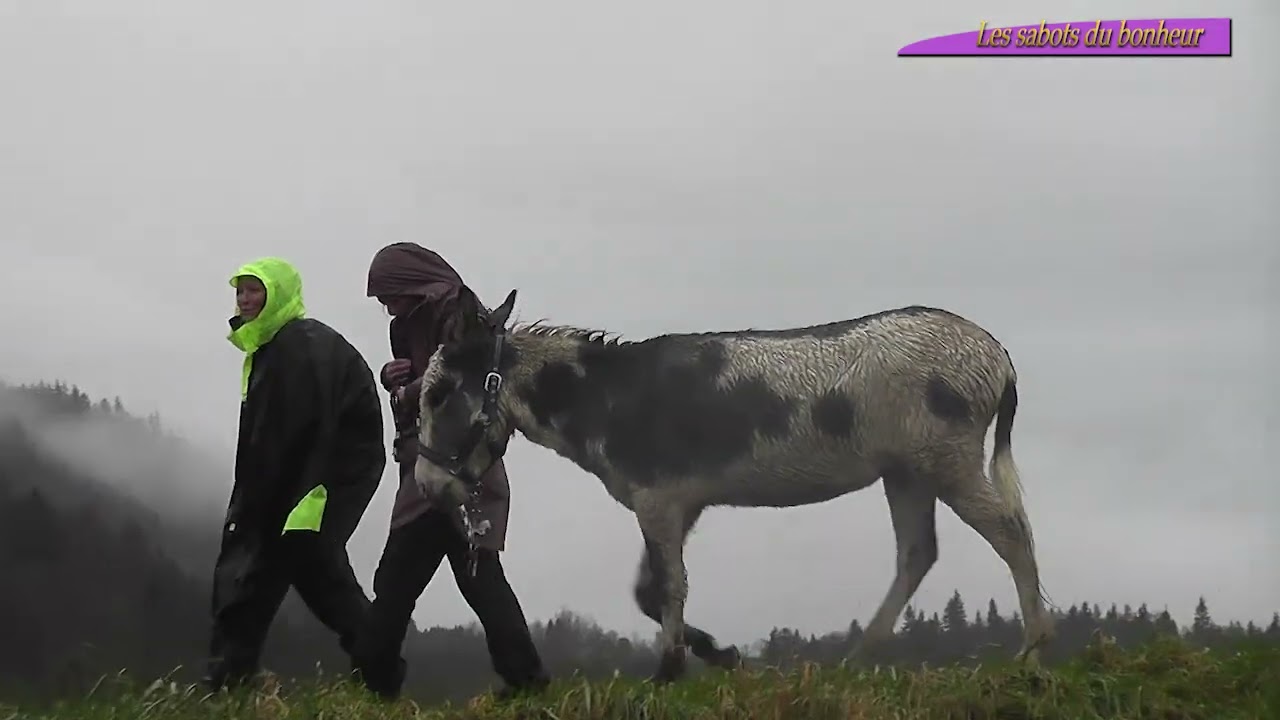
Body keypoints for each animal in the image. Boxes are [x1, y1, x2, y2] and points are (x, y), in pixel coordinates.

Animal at [412, 289, 1055, 682]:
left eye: (437, 394)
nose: (427, 485)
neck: (605, 398)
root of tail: (997, 354)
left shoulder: (658, 499)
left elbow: (669, 586)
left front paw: (668, 674)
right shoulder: (681, 503)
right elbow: (649, 592)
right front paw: (721, 657)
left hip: (946, 458)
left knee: (1010, 533)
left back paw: (1031, 653)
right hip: (906, 471)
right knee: (918, 553)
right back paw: (857, 659)